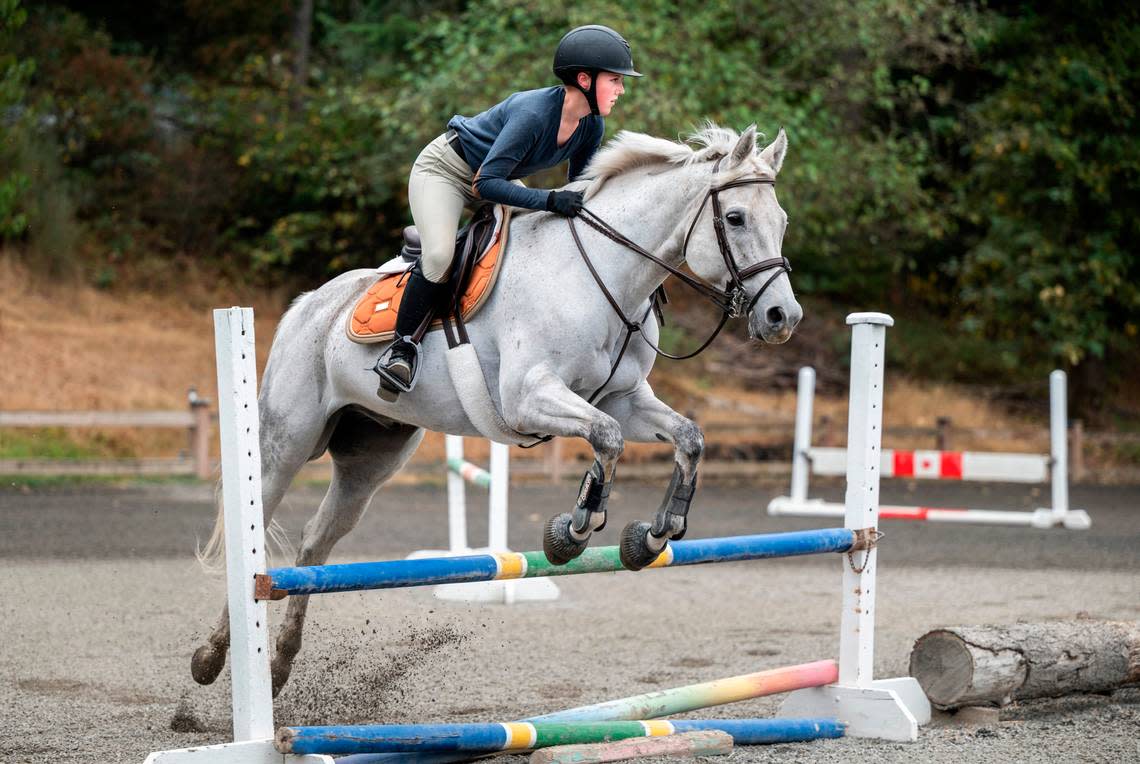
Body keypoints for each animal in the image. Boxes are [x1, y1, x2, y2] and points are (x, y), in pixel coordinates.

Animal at [191, 124, 802, 693]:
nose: (782, 317)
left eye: (782, 220)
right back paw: (211, 657)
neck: (602, 276)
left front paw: (654, 535)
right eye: (737, 218)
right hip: (284, 442)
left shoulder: (626, 400)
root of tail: (308, 305)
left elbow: (686, 437)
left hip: (371, 459)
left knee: (316, 541)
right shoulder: (530, 398)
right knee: (257, 535)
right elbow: (606, 439)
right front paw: (573, 532)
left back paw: (279, 665)